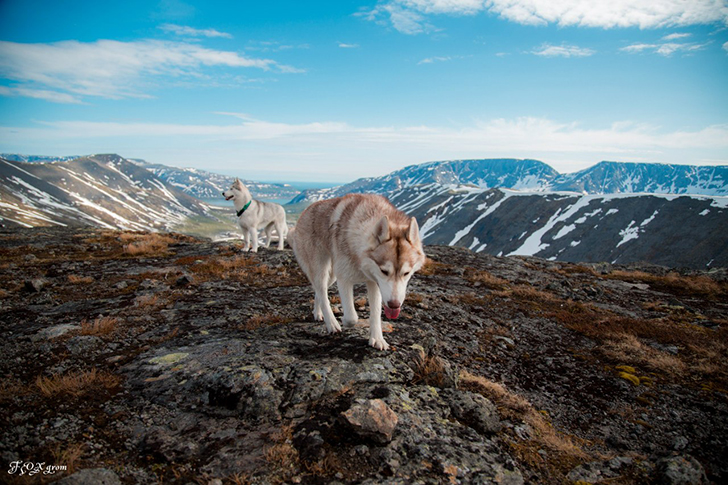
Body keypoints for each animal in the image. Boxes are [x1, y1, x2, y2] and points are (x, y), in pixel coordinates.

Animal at [290, 192, 426, 348]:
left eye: (406, 273)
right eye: (384, 271)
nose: (394, 304)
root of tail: (306, 210)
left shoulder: (374, 283)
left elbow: (375, 313)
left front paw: (377, 339)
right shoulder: (344, 280)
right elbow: (351, 317)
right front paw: (344, 321)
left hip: (332, 275)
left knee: (319, 291)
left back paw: (318, 313)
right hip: (321, 270)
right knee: (322, 293)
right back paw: (332, 324)